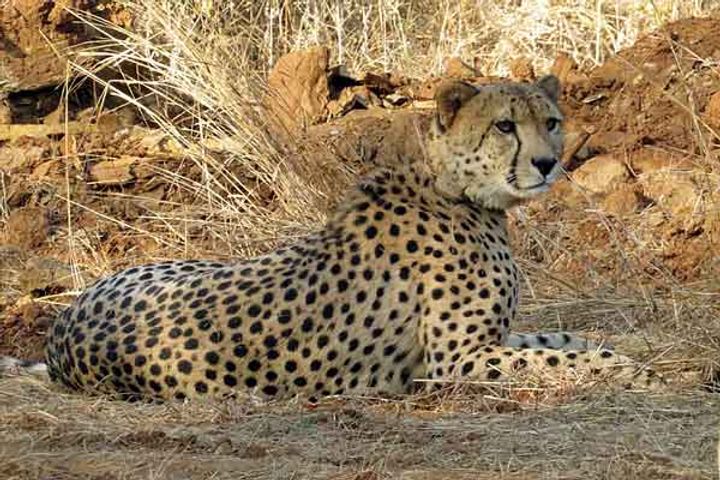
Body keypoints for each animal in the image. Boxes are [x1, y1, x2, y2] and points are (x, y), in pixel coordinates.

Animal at [1, 75, 662, 401]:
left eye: (550, 121)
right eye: (505, 126)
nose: (549, 163)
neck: (455, 188)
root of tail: (61, 328)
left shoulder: (489, 339)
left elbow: (566, 338)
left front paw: (631, 355)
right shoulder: (455, 360)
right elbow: (557, 357)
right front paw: (637, 375)